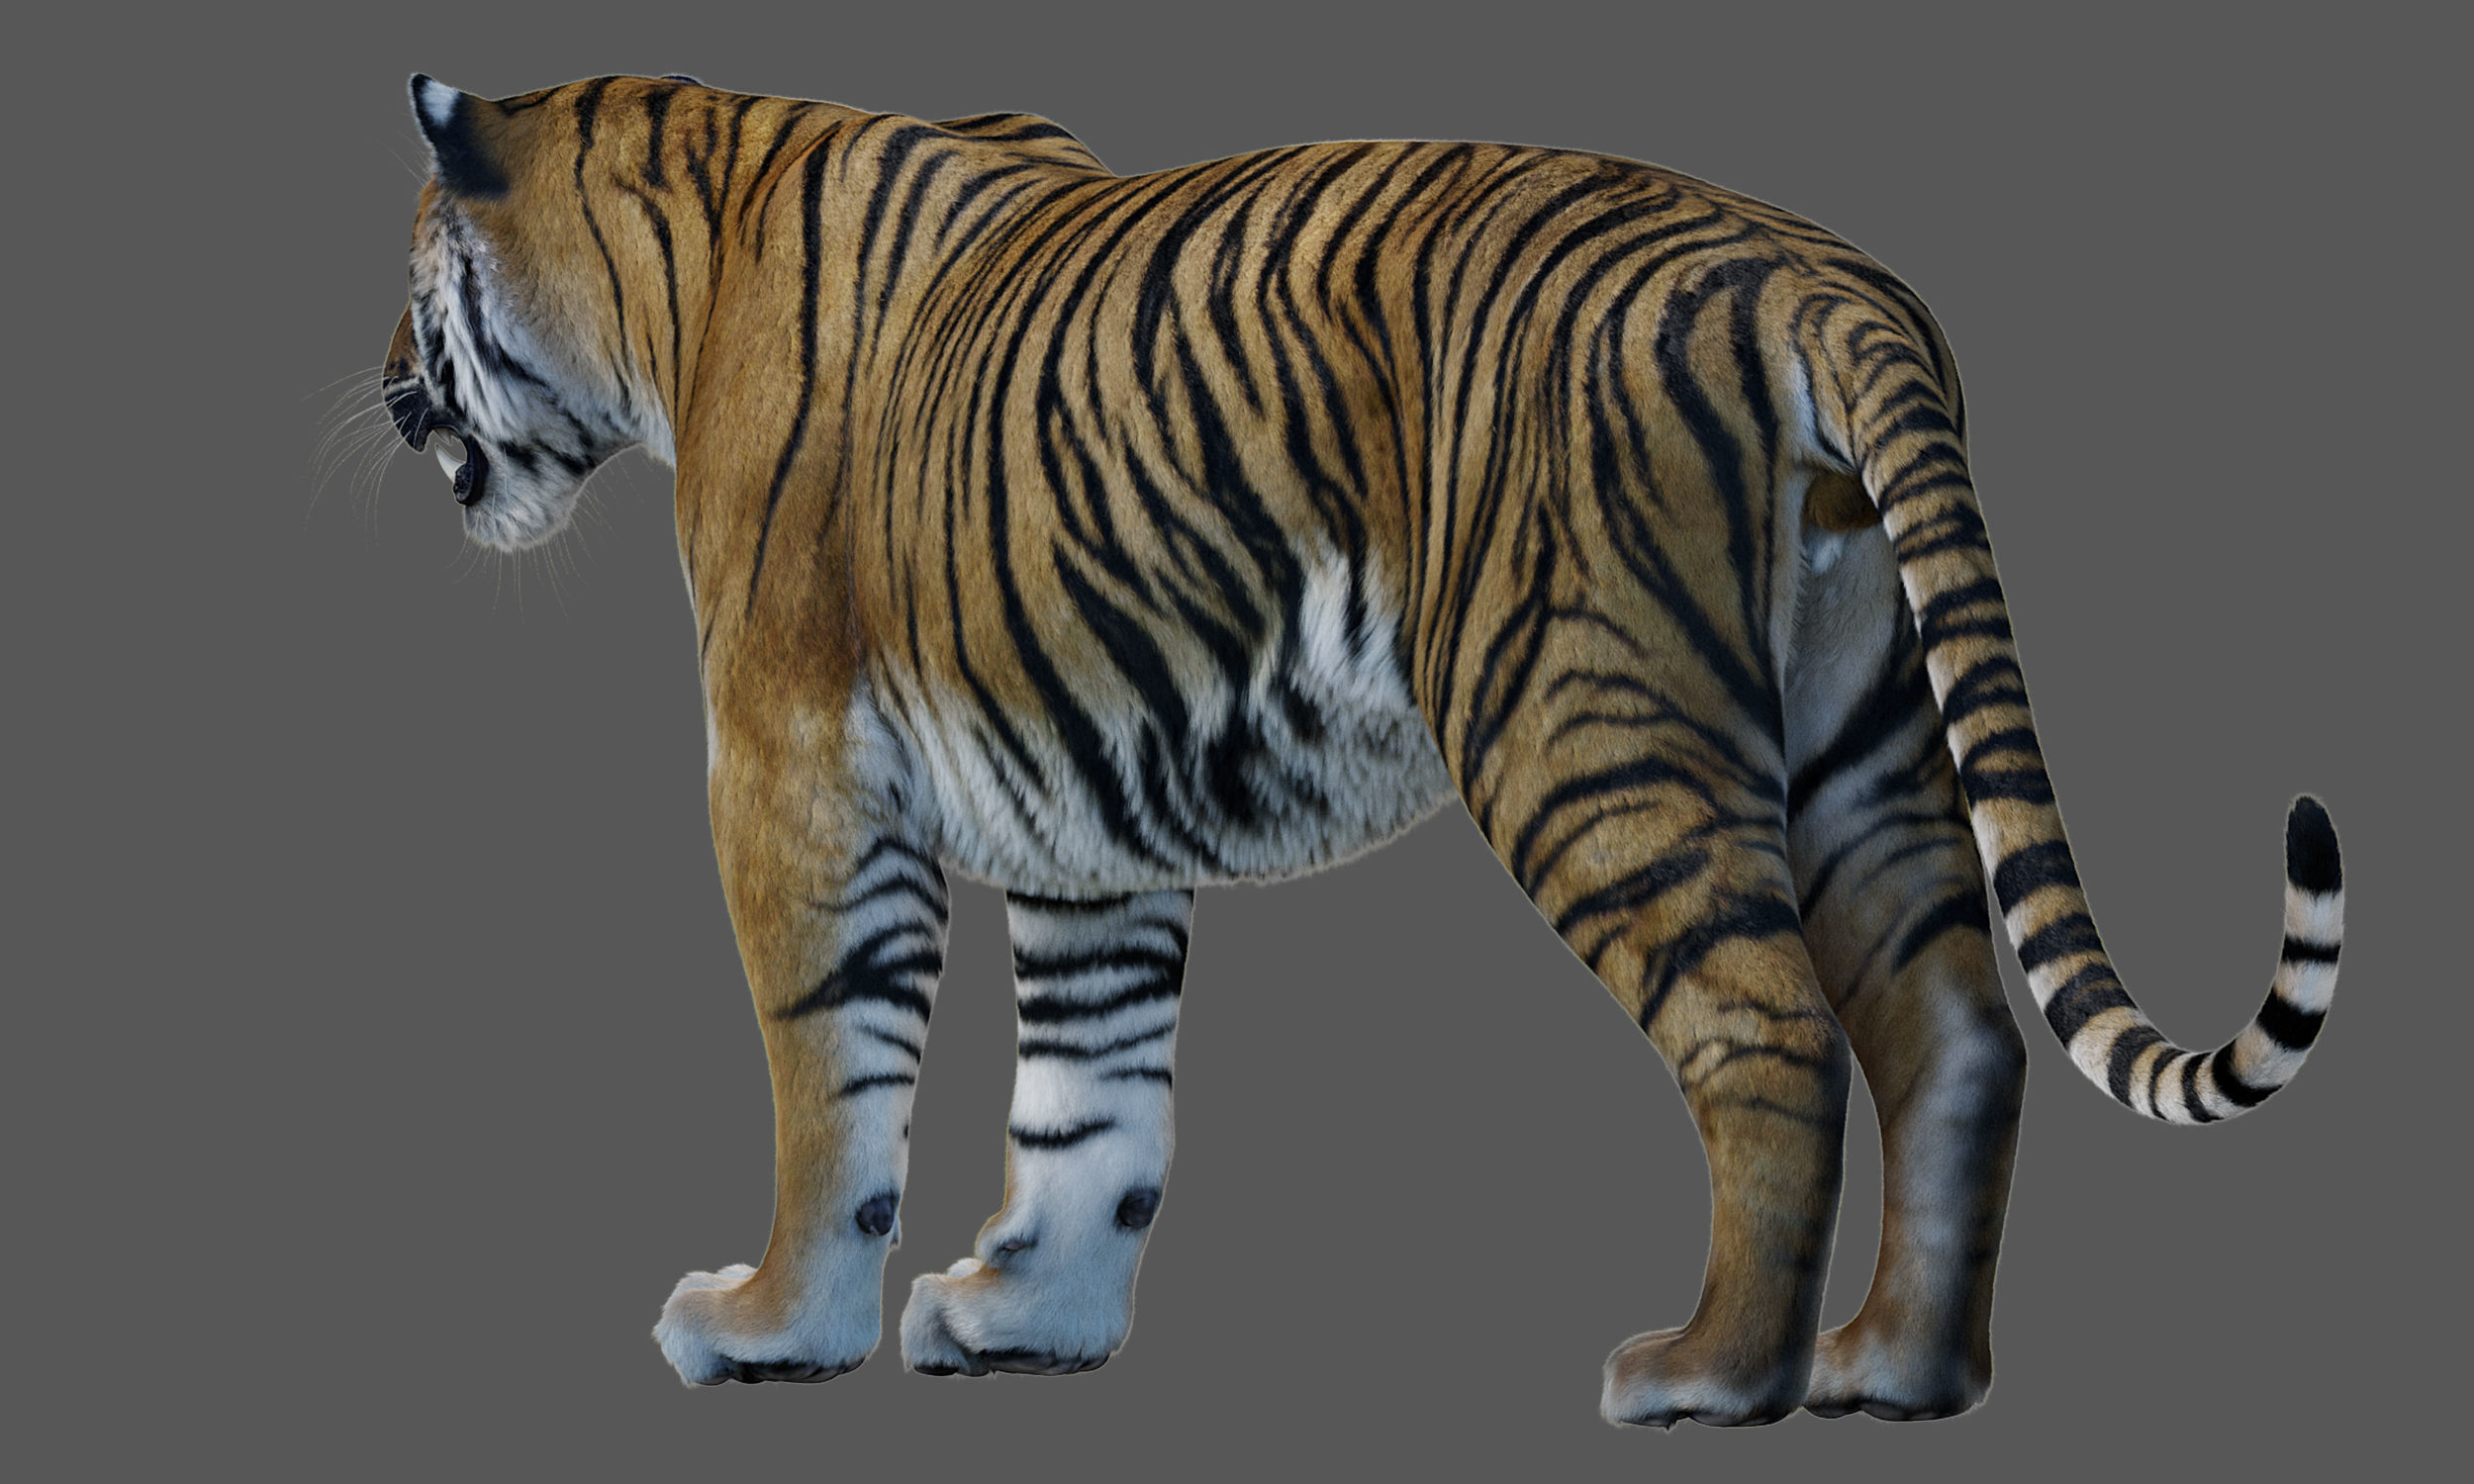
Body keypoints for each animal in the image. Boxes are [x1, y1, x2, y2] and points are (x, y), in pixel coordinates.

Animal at [377, 72, 2345, 1427]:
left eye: (411, 274)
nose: (387, 378)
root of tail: (1815, 275)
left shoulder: (789, 763)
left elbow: (829, 1071)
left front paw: (771, 1326)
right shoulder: (1079, 796)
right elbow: (1092, 1092)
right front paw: (1032, 1321)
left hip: (1583, 717)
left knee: (1769, 1028)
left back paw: (1712, 1372)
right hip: (1864, 739)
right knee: (1956, 1034)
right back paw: (1896, 1368)